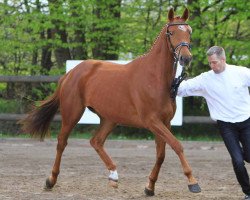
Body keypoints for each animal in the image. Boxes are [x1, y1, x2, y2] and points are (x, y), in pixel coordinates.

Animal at [21, 7, 201, 195]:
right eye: (171, 32)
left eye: (189, 32)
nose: (186, 58)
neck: (156, 78)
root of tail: (70, 74)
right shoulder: (152, 121)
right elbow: (177, 145)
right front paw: (192, 181)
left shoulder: (165, 122)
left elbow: (161, 155)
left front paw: (150, 187)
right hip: (72, 113)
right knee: (62, 142)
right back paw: (51, 180)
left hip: (109, 118)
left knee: (96, 141)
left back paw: (113, 176)